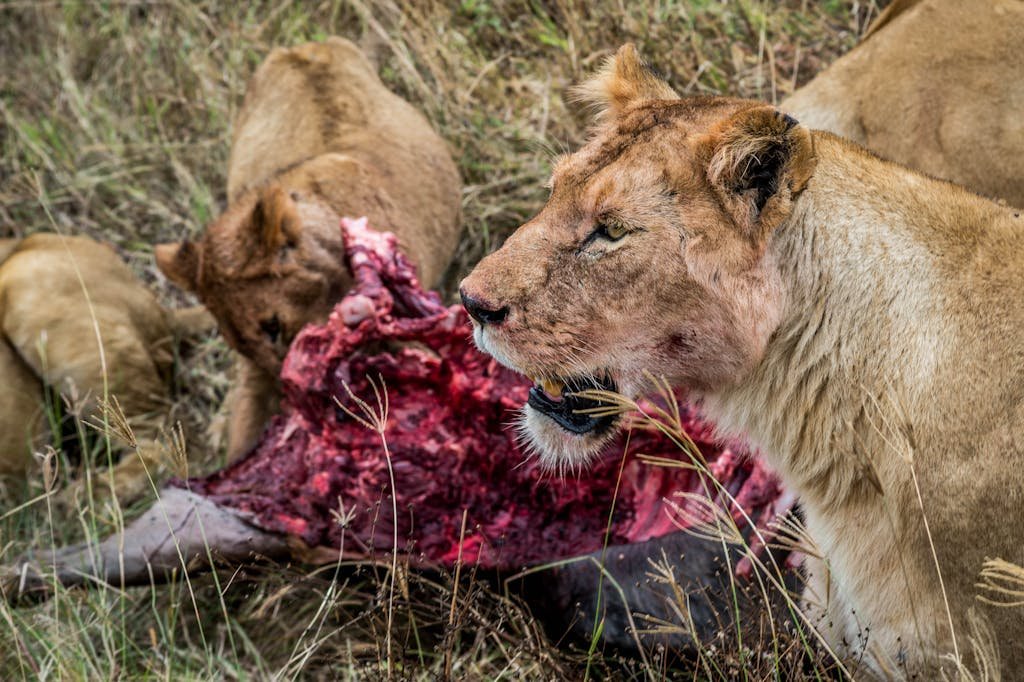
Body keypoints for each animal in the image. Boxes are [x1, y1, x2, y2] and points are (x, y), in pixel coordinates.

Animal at [153, 38, 462, 462]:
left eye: (274, 325)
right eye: (241, 343)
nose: (291, 393)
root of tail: (303, 46)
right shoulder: (254, 377)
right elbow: (242, 435)